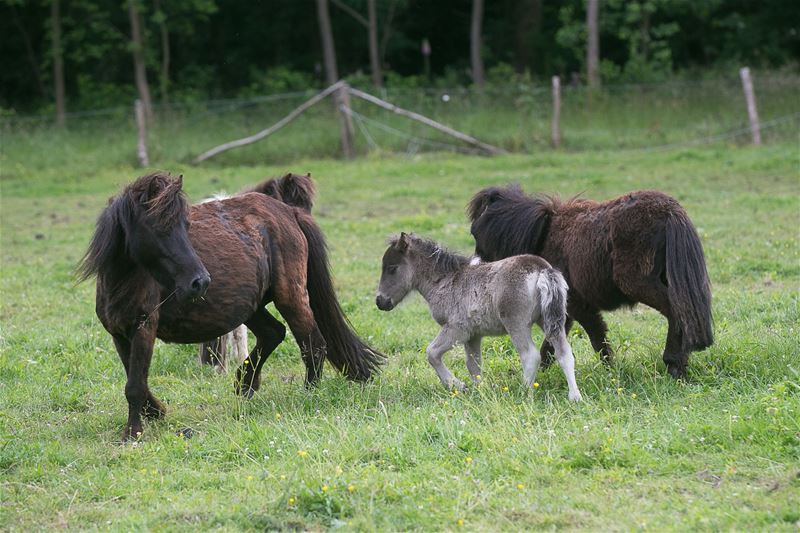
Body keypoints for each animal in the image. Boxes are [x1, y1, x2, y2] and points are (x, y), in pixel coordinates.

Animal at [375, 233, 582, 401]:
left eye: (392, 268)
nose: (380, 301)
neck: (446, 282)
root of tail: (542, 270)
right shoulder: (474, 335)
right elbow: (473, 365)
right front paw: (480, 392)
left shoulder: (457, 328)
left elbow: (432, 353)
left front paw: (456, 385)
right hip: (549, 319)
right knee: (564, 353)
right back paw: (575, 397)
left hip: (517, 323)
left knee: (530, 356)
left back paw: (523, 392)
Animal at [468, 186, 713, 379]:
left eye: (475, 232)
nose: (476, 267)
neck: (543, 233)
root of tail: (670, 210)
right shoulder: (565, 309)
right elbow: (552, 345)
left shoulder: (578, 305)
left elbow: (596, 337)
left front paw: (611, 371)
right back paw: (682, 364)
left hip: (637, 283)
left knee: (678, 311)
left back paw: (673, 364)